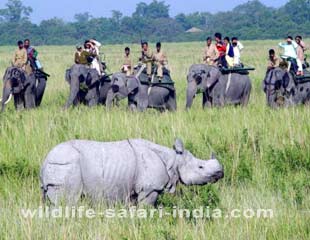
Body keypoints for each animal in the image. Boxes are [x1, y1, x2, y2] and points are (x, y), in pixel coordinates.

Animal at [41, 138, 224, 205]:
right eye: (200, 167)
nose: (220, 173)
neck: (173, 160)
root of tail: (45, 160)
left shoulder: (133, 190)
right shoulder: (150, 189)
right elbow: (147, 208)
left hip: (57, 166)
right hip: (66, 165)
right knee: (67, 202)